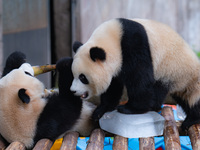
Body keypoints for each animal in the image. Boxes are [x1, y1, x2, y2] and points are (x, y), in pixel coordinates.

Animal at [70, 17, 200, 130]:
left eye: (82, 77)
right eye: (74, 75)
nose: (73, 91)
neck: (113, 38)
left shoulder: (134, 44)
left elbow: (139, 78)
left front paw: (130, 108)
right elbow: (113, 86)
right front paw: (100, 111)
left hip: (179, 71)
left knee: (192, 96)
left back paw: (191, 120)